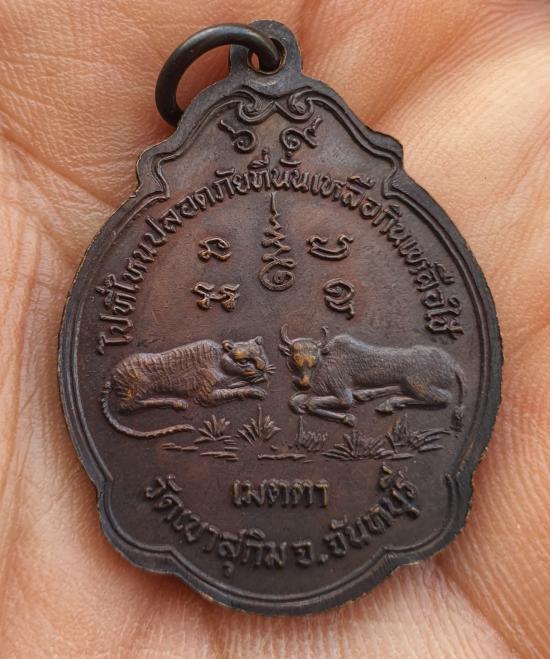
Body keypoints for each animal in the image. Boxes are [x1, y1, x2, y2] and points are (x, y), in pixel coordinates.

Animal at [101, 336, 274, 438]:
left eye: (261, 355)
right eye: (244, 361)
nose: (261, 368)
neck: (220, 361)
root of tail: (112, 372)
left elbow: (234, 385)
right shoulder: (205, 396)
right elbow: (233, 391)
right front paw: (255, 391)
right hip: (141, 386)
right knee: (127, 406)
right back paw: (176, 402)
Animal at [278, 325, 465, 428]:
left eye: (314, 356)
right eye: (295, 358)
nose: (303, 382)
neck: (324, 363)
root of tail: (453, 363)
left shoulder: (341, 392)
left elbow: (313, 403)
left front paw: (348, 418)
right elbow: (295, 400)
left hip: (417, 382)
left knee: (442, 398)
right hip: (408, 382)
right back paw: (370, 396)